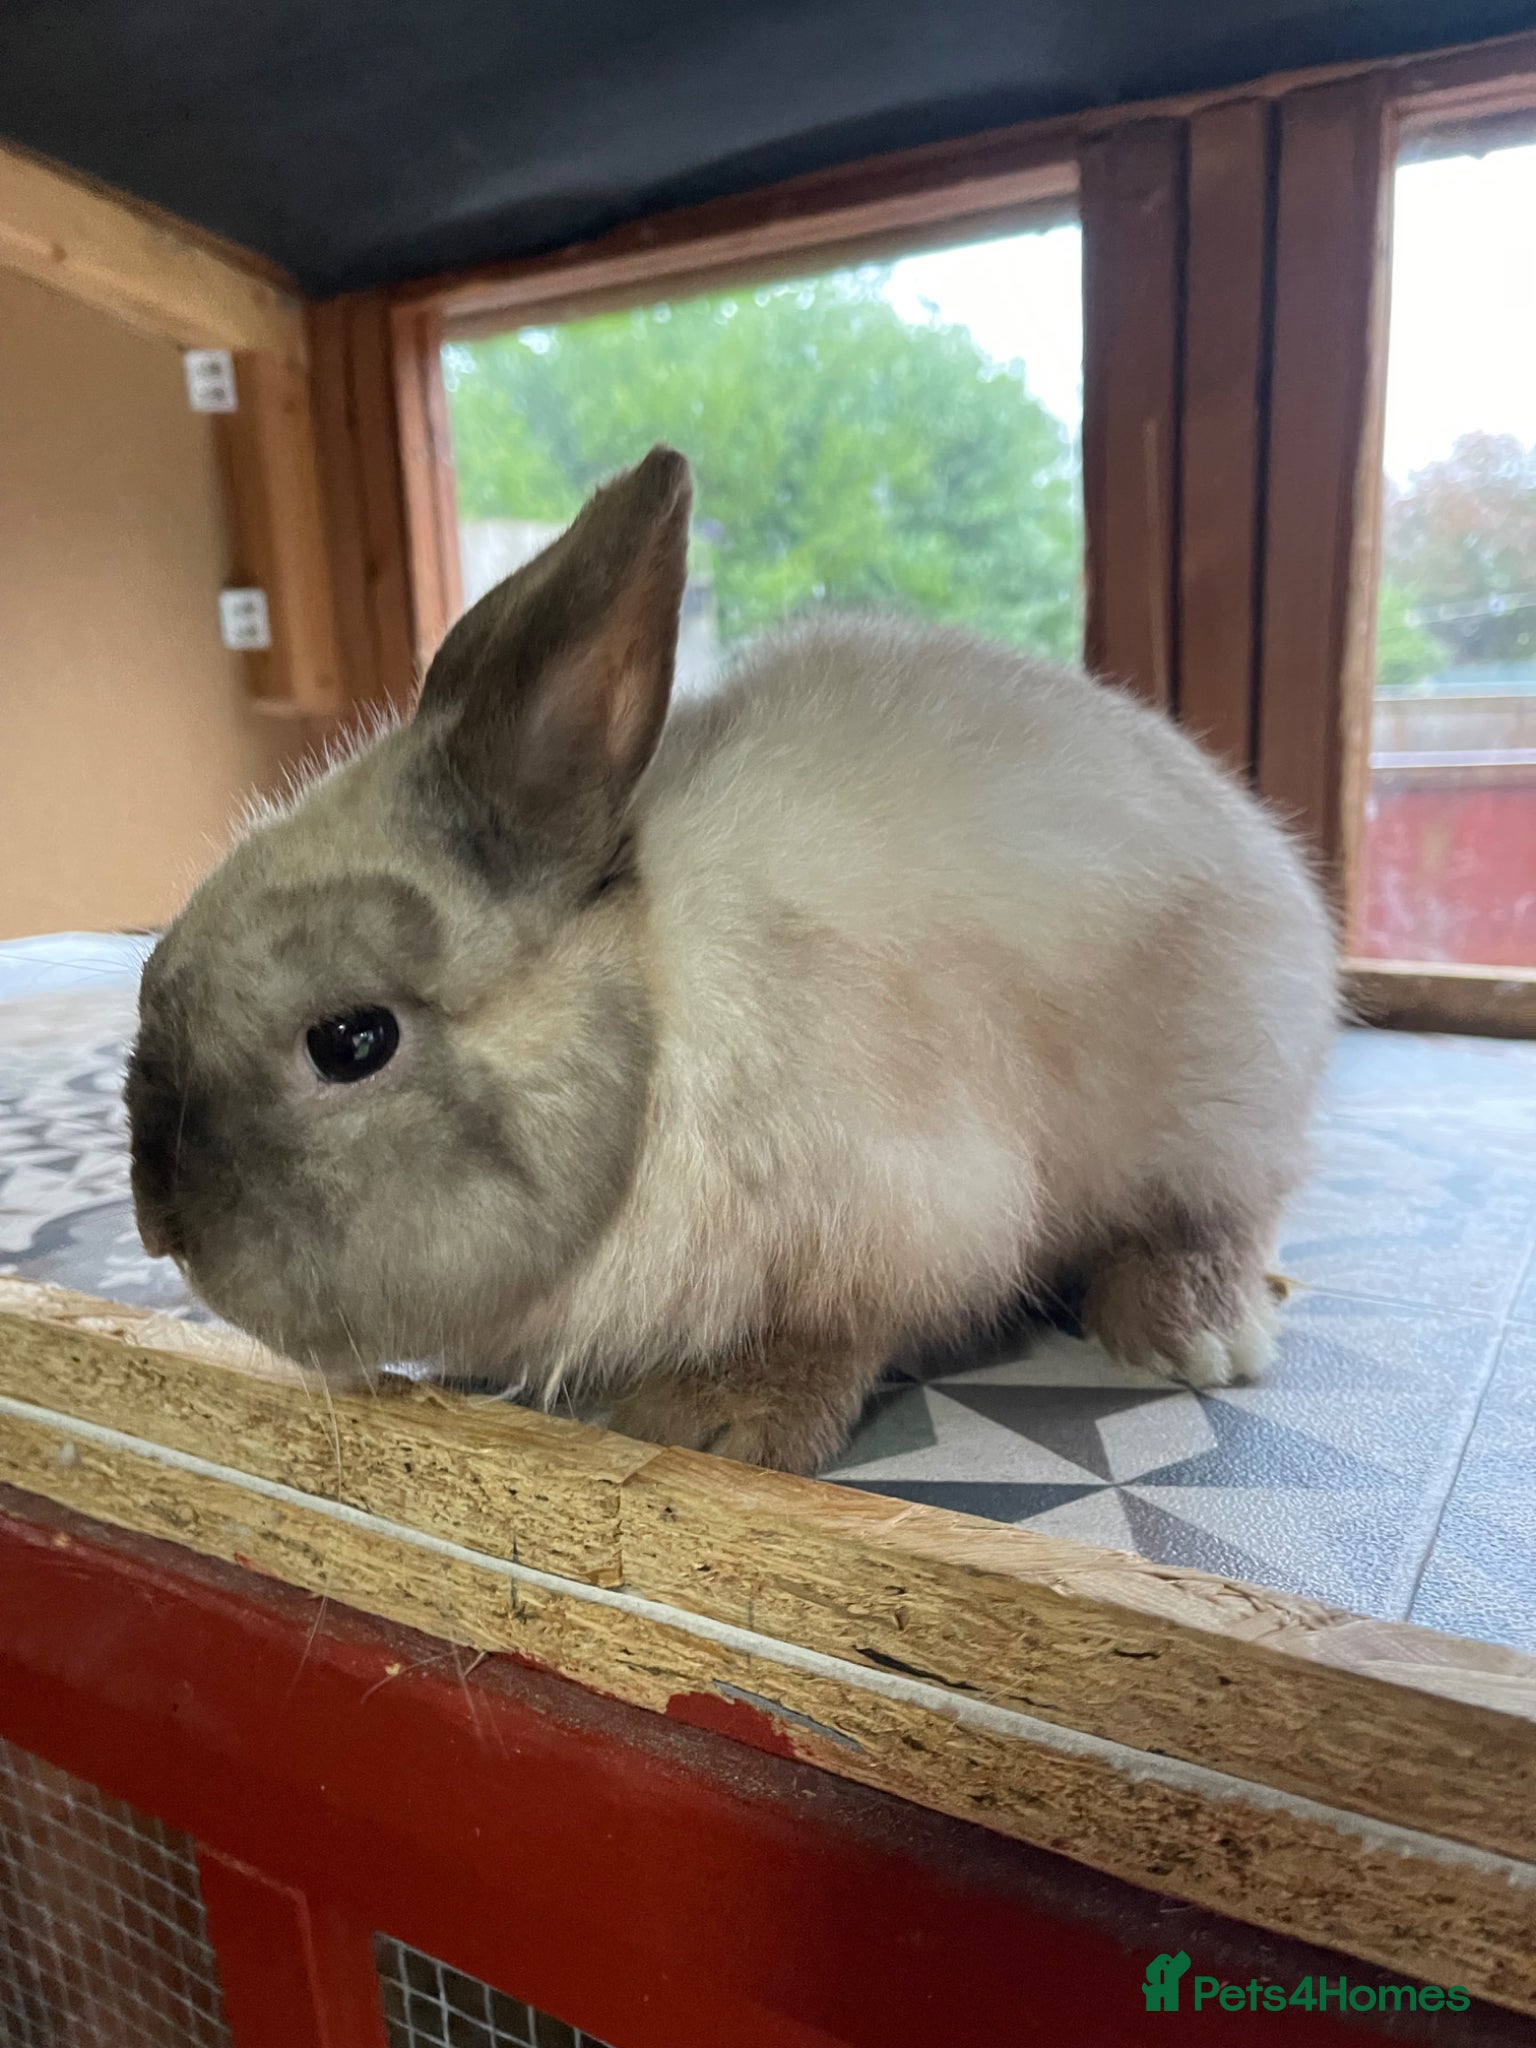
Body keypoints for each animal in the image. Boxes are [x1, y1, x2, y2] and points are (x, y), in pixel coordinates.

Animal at [127, 445, 1336, 1475]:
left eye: (350, 1040)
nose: (157, 1226)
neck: (657, 1020)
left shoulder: (905, 1203)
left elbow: (831, 1328)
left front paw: (711, 1421)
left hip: (1214, 1104)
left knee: (1220, 1216)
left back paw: (1188, 1329)